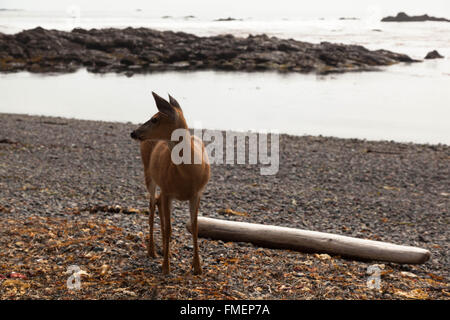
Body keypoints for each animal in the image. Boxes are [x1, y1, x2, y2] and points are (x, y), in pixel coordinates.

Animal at [128, 90, 209, 276]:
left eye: (155, 119)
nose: (133, 132)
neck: (188, 173)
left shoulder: (197, 193)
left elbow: (195, 227)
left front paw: (197, 267)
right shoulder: (168, 191)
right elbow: (169, 228)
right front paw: (166, 267)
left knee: (156, 202)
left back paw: (166, 251)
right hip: (148, 174)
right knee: (151, 206)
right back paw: (152, 251)